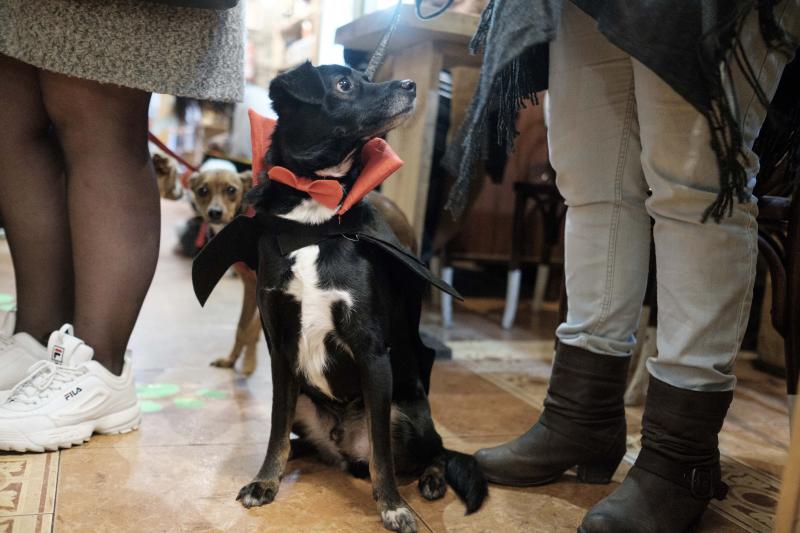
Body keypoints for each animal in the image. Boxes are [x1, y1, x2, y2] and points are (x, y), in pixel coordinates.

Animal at [194, 62, 488, 532]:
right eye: (344, 84)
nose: (411, 85)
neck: (315, 221)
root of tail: (340, 445)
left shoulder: (372, 353)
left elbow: (382, 457)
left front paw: (392, 506)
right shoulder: (281, 352)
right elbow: (275, 431)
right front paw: (265, 481)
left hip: (406, 415)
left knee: (435, 452)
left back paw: (431, 480)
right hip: (303, 401)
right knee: (298, 439)